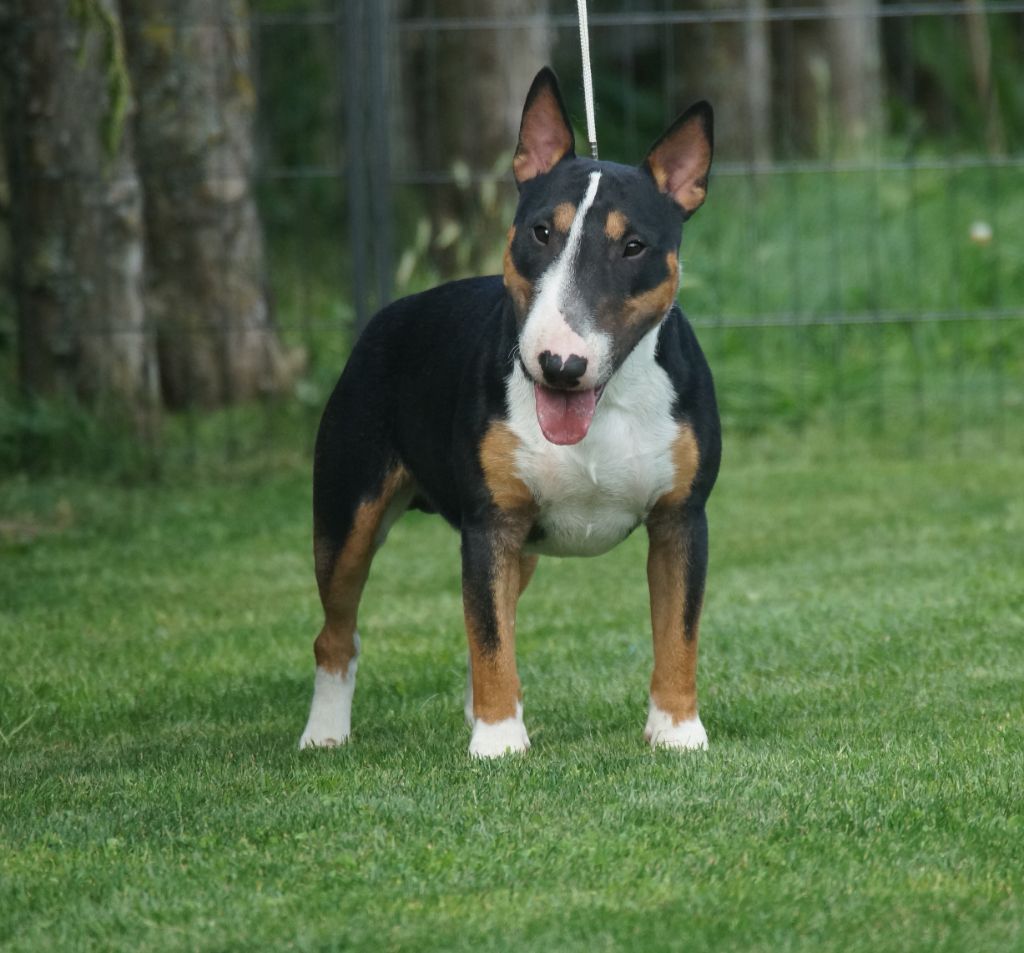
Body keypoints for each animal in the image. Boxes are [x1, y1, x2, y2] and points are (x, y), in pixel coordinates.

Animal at [300, 67, 720, 758]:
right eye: (540, 232)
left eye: (633, 246)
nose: (559, 365)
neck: (602, 405)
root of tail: (387, 315)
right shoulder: (488, 525)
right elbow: (489, 634)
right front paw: (499, 744)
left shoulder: (680, 520)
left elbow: (677, 631)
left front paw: (677, 731)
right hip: (347, 512)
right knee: (339, 631)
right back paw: (325, 733)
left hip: (520, 546)